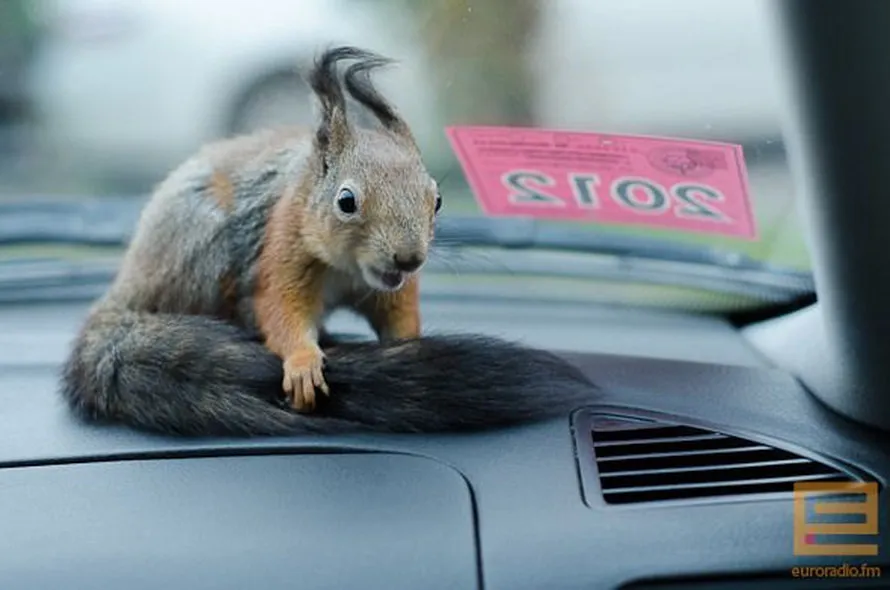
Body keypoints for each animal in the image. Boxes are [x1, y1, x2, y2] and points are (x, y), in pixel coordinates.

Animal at [59, 45, 597, 437]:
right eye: (346, 201)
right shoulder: (283, 246)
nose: (409, 258)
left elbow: (397, 315)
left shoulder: (391, 289)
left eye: (438, 198)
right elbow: (281, 307)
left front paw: (411, 350)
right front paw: (302, 363)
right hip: (200, 252)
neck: (348, 268)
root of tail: (129, 287)